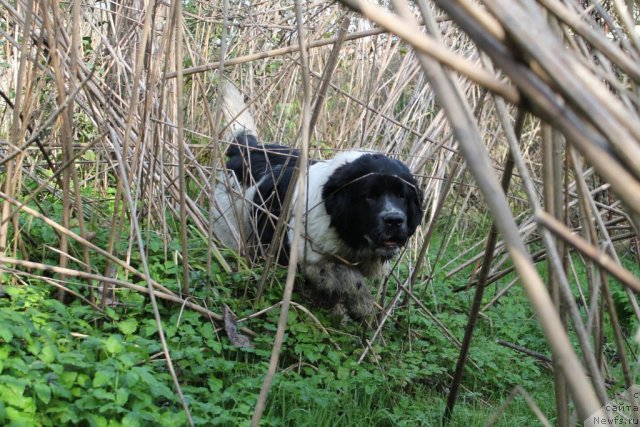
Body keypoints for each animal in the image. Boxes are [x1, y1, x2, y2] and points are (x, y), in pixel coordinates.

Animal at [214, 83, 424, 320]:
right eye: (369, 196)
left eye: (402, 196)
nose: (394, 220)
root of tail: (246, 147)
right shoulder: (309, 256)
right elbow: (346, 275)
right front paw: (362, 304)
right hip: (231, 228)